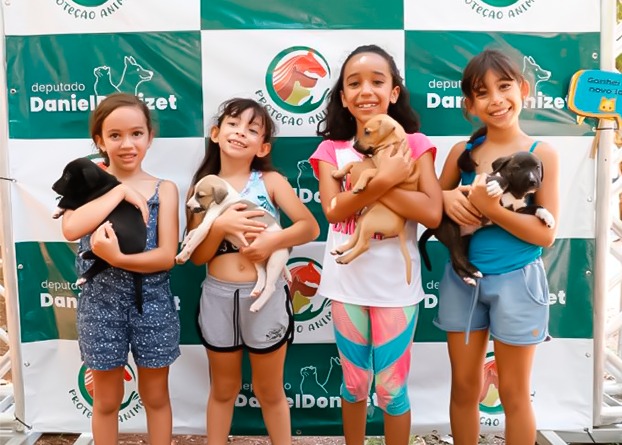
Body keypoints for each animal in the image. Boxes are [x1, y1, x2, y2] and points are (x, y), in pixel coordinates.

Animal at [52, 157, 146, 309]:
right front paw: (58, 211)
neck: (99, 184)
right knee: (102, 261)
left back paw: (84, 260)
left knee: (103, 260)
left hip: (114, 239)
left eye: (67, 176)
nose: (53, 187)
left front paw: (57, 209)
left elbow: (67, 199)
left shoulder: (85, 202)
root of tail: (138, 252)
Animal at [175, 175, 291, 313]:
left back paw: (256, 305)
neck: (226, 198)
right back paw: (256, 291)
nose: (187, 206)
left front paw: (182, 255)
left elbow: (194, 239)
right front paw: (186, 240)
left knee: (270, 287)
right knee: (262, 274)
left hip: (274, 259)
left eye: (200, 195)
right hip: (255, 254)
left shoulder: (207, 224)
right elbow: (193, 232)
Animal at [329, 114, 419, 284]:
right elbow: (351, 164)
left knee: (364, 245)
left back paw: (344, 258)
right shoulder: (366, 162)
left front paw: (358, 185)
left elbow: (367, 171)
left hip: (370, 221)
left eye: (367, 131)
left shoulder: (383, 170)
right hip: (364, 220)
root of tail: (400, 229)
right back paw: (341, 250)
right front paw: (338, 173)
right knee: (356, 239)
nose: (354, 145)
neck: (390, 144)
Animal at [418, 151, 555, 286]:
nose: (532, 181)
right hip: (451, 229)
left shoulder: (518, 211)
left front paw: (547, 216)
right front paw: (497, 185)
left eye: (537, 168)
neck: (516, 193)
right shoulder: (485, 180)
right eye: (517, 168)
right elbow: (503, 178)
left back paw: (468, 277)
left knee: (455, 259)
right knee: (457, 256)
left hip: (464, 239)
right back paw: (474, 271)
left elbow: (536, 207)